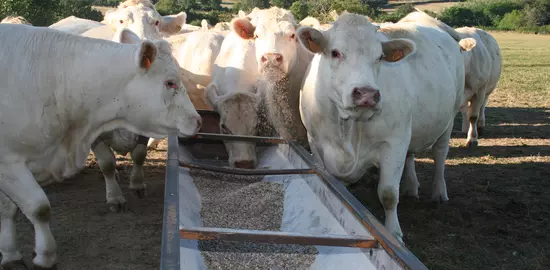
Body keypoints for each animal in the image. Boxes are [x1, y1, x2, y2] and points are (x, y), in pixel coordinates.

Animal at [0, 24, 202, 268]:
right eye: (170, 82)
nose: (198, 120)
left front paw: (11, 253)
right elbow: (38, 207)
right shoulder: (9, 163)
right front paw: (44, 255)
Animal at [300, 12, 476, 242]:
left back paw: (439, 192)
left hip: (448, 117)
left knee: (440, 154)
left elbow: (388, 194)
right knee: (411, 156)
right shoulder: (315, 142)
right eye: (335, 52)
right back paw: (411, 187)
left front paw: (394, 233)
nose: (367, 94)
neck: (349, 128)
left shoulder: (394, 143)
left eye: (380, 57)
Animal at [398, 10, 502, 147]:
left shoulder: (479, 90)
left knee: (482, 107)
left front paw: (472, 138)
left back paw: (480, 125)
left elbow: (473, 116)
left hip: (488, 89)